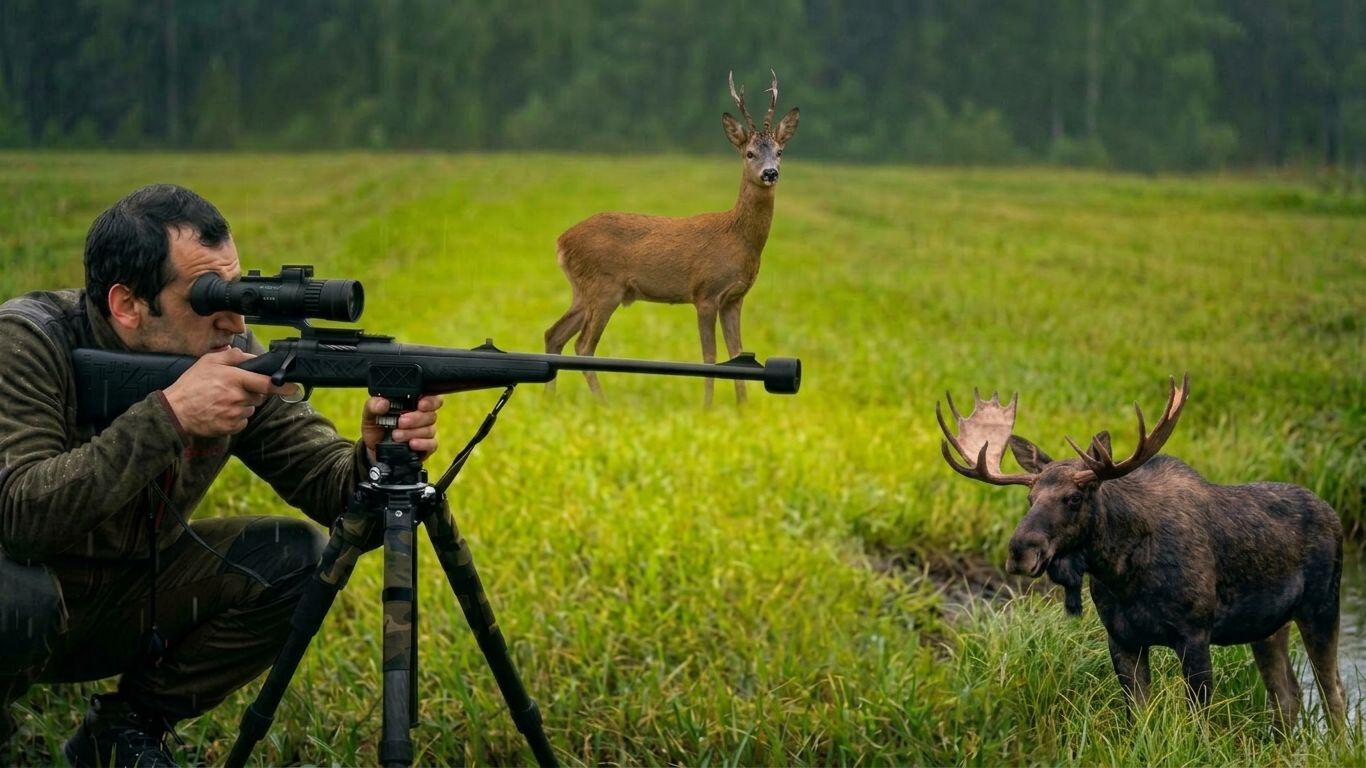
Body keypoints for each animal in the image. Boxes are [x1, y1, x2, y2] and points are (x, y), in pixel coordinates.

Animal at [543, 69, 799, 406]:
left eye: (780, 152)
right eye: (749, 153)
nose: (770, 173)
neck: (738, 239)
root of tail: (561, 241)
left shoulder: (735, 298)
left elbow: (736, 353)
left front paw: (743, 408)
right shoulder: (705, 292)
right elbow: (710, 356)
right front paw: (708, 407)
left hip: (583, 290)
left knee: (554, 334)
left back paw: (549, 401)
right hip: (604, 286)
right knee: (583, 345)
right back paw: (604, 405)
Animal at [936, 376, 1345, 733]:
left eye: (1073, 498)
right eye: (1030, 498)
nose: (1020, 551)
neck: (1122, 573)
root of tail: (1334, 513)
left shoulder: (1195, 633)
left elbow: (1199, 723)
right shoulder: (1122, 638)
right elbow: (1138, 719)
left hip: (1321, 606)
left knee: (1333, 694)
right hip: (1268, 626)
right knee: (1288, 696)